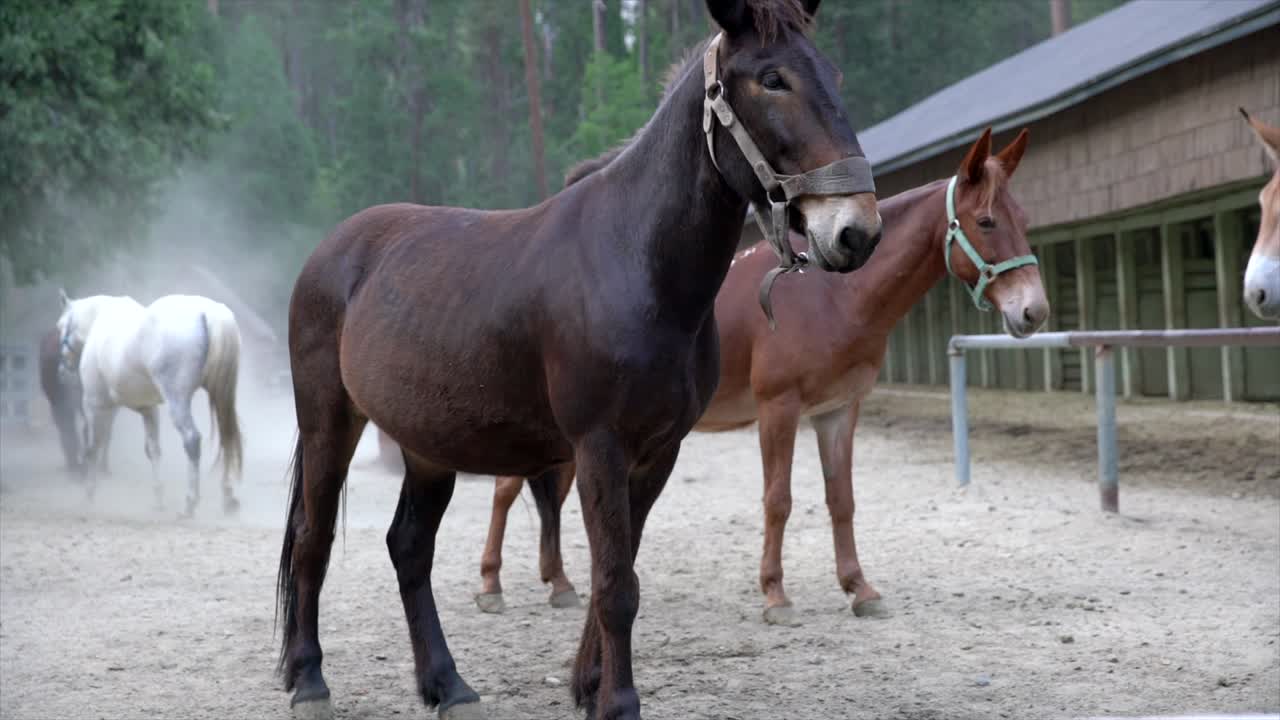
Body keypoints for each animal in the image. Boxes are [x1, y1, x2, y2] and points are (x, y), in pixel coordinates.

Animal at [55, 292, 244, 516]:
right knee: (227, 437)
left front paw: (89, 495)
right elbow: (153, 450)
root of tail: (208, 313)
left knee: (191, 439)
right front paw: (158, 498)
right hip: (221, 397)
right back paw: (228, 498)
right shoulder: (148, 409)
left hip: (177, 400)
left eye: (61, 326)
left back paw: (190, 502)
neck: (100, 320)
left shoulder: (95, 405)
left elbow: (93, 447)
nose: (62, 371)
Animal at [275, 2, 883, 718]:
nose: (857, 230)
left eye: (832, 73)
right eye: (771, 79)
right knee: (312, 539)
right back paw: (310, 679)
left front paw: (588, 685)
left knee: (409, 548)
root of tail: (330, 253)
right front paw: (618, 701)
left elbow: (617, 570)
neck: (637, 265)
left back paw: (446, 685)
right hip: (329, 423)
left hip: (426, 444)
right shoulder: (599, 446)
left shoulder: (658, 452)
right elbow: (617, 581)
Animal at [478, 128, 1050, 627]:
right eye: (986, 221)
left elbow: (841, 500)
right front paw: (775, 594)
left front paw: (859, 589)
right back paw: (492, 585)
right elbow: (778, 500)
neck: (831, 296)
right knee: (505, 491)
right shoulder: (780, 408)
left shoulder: (837, 411)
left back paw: (560, 584)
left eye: (1023, 217)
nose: (1034, 311)